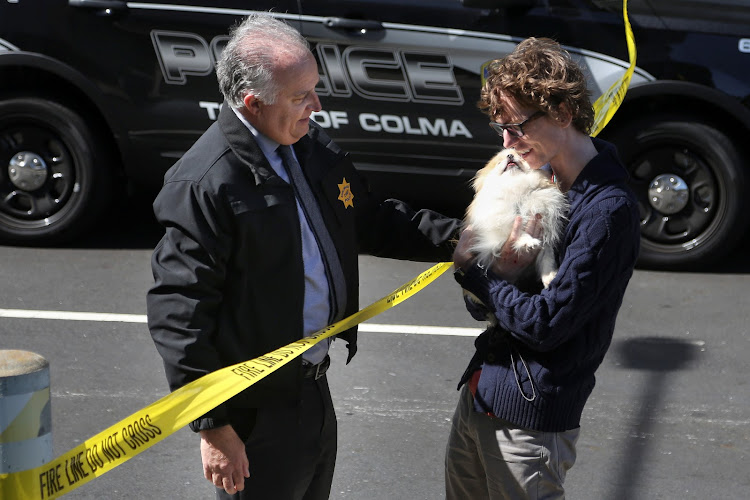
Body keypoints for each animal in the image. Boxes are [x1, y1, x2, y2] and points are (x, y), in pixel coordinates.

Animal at [464, 148, 568, 290]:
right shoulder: (497, 228)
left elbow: (547, 255)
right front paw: (528, 241)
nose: (510, 156)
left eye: (520, 155)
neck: (516, 188)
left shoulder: (544, 227)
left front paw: (550, 276)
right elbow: (518, 232)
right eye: (499, 162)